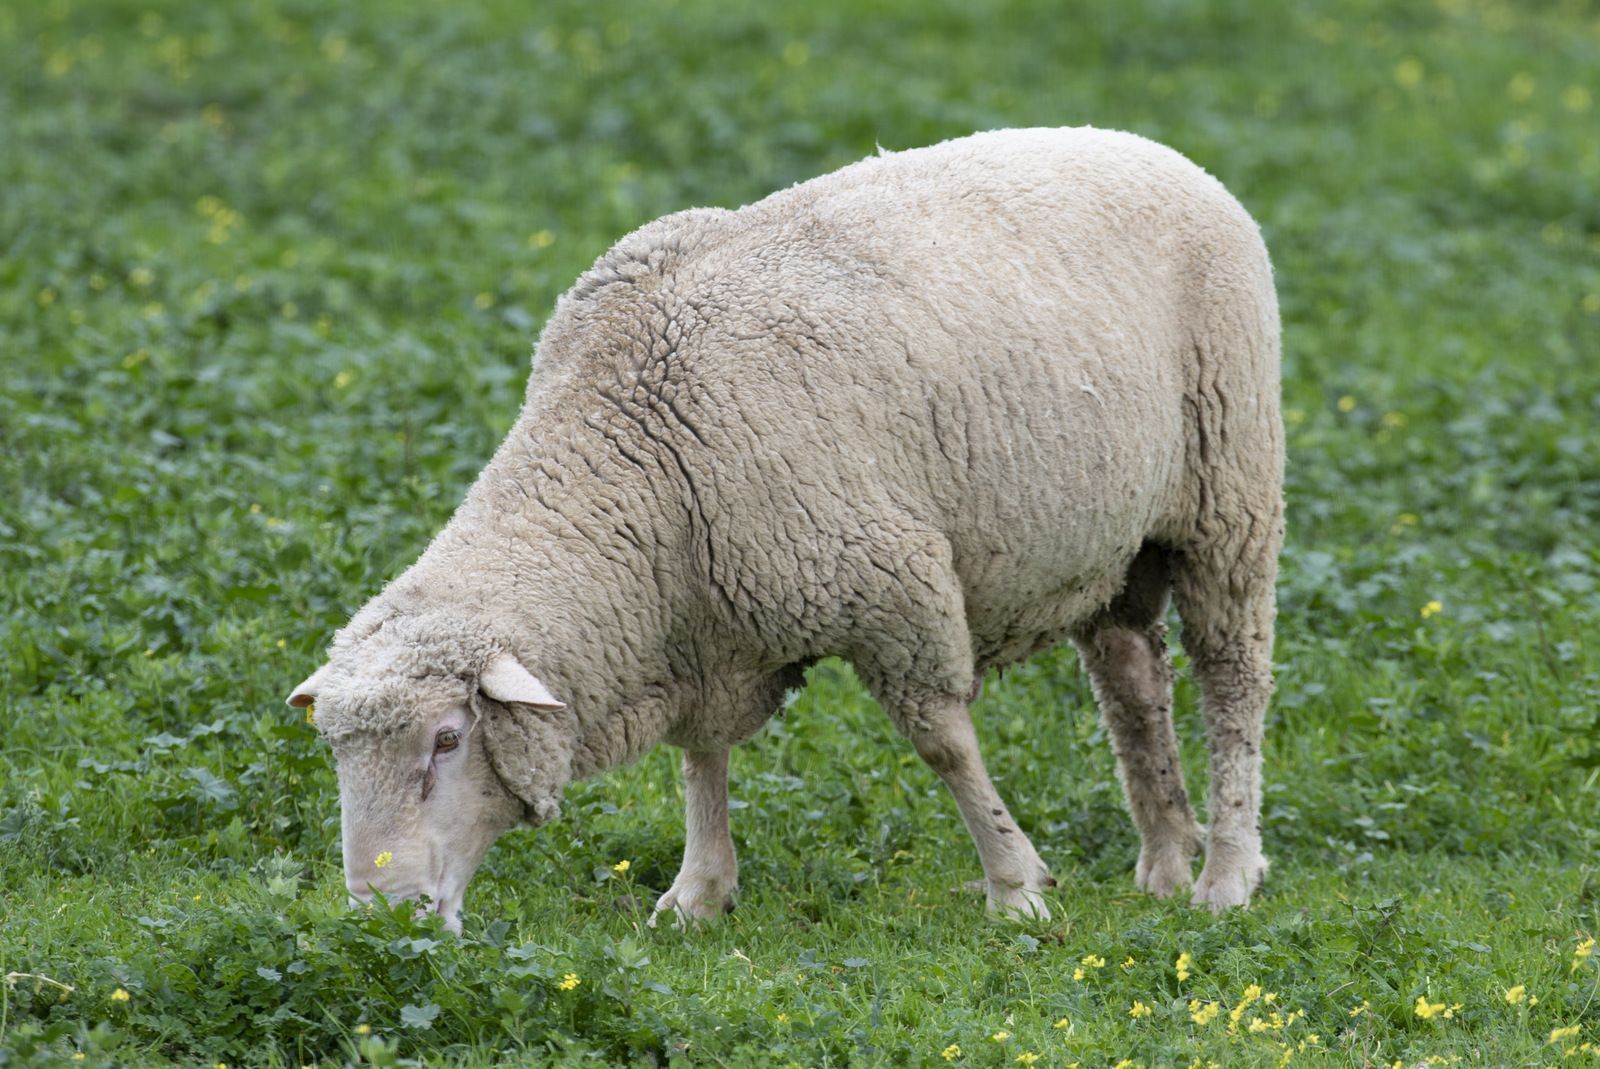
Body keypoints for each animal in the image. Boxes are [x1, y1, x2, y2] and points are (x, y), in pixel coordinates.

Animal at [286, 126, 1284, 931]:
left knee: (1233, 682)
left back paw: (1226, 875)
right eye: (333, 752)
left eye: (448, 740)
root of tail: (1142, 144)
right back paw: (1164, 859)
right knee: (1133, 688)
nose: (383, 915)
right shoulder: (698, 629)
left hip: (1229, 494)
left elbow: (944, 745)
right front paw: (698, 891)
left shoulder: (894, 583)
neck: (639, 451)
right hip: (1116, 541)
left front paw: (1016, 886)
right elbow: (701, 756)